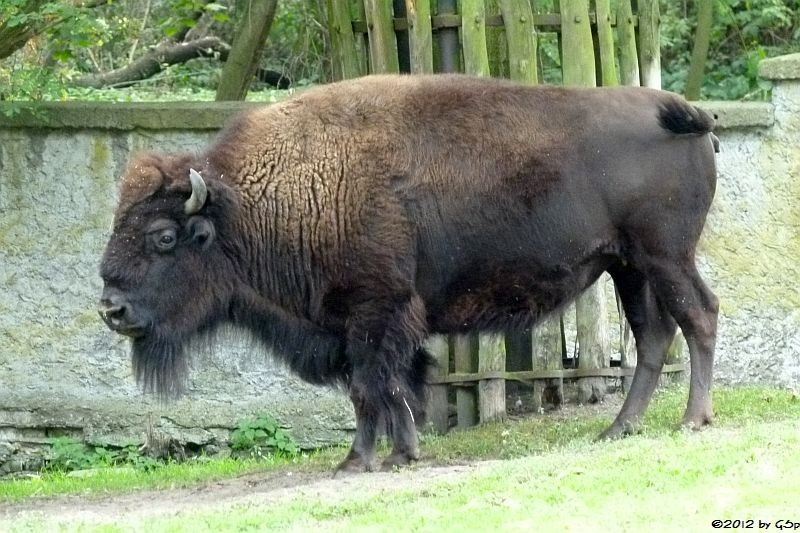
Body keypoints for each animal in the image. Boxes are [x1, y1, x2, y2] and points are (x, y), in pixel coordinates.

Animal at [98, 72, 720, 472]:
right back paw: (618, 428)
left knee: (699, 318)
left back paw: (692, 421)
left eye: (163, 236)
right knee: (655, 336)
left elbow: (371, 387)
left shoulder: (375, 312)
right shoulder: (359, 326)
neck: (256, 200)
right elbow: (389, 386)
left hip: (666, 257)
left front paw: (358, 461)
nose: (111, 309)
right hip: (629, 268)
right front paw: (402, 452)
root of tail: (683, 113)